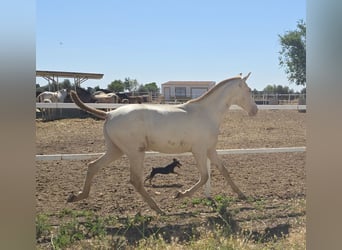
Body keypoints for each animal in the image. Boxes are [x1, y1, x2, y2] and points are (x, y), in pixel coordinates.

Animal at [68, 73, 258, 214]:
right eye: (249, 90)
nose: (255, 110)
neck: (206, 113)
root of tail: (109, 114)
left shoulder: (210, 149)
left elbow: (224, 170)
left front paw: (242, 195)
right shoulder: (199, 150)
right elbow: (204, 176)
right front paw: (180, 194)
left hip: (116, 150)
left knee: (93, 166)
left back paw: (76, 197)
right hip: (135, 152)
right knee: (135, 180)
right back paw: (158, 209)